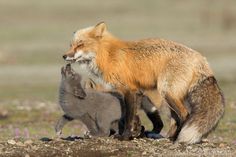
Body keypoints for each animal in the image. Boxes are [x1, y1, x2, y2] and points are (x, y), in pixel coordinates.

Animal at [62, 22, 225, 144]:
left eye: (80, 45)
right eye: (71, 45)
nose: (64, 56)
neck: (107, 55)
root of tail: (201, 58)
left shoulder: (129, 90)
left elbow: (128, 118)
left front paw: (125, 137)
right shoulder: (125, 93)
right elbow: (123, 117)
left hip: (167, 92)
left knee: (185, 115)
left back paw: (176, 139)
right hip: (169, 97)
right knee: (176, 119)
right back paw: (170, 137)